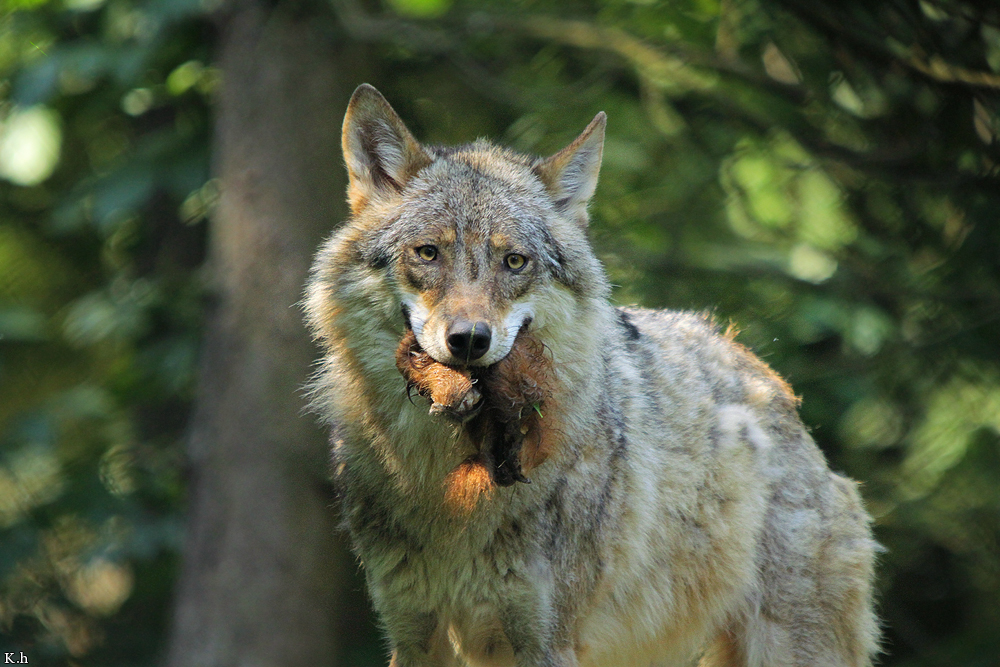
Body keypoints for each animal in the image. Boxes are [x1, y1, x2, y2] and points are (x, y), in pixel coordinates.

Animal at [304, 83, 879, 667]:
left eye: (515, 262)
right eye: (427, 253)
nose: (468, 340)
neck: (448, 489)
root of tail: (768, 381)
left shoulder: (547, 640)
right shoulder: (413, 634)